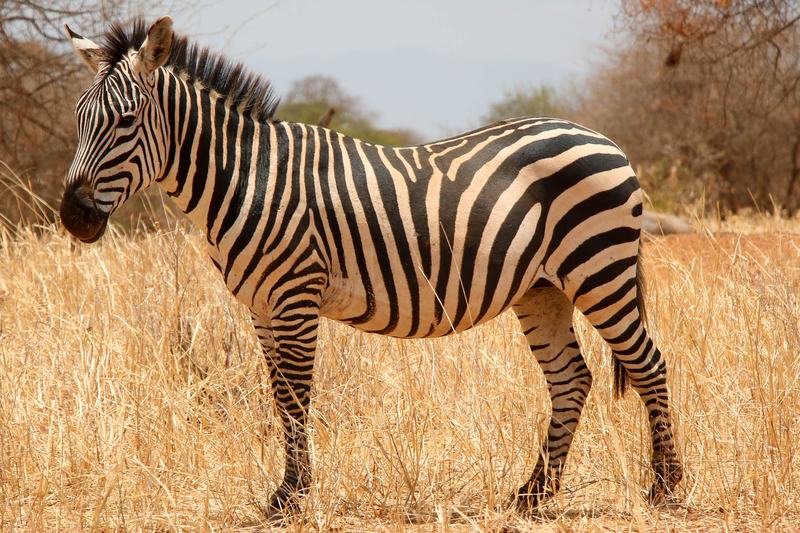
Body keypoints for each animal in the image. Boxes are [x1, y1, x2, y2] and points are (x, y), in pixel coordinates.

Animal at [60, 16, 683, 520]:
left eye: (126, 120)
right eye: (79, 119)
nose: (73, 216)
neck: (248, 177)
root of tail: (604, 139)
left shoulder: (295, 296)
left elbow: (296, 396)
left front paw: (292, 496)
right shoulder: (262, 306)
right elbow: (278, 396)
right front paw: (286, 492)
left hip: (599, 267)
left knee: (648, 364)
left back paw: (666, 487)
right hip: (544, 288)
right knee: (571, 379)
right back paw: (533, 495)